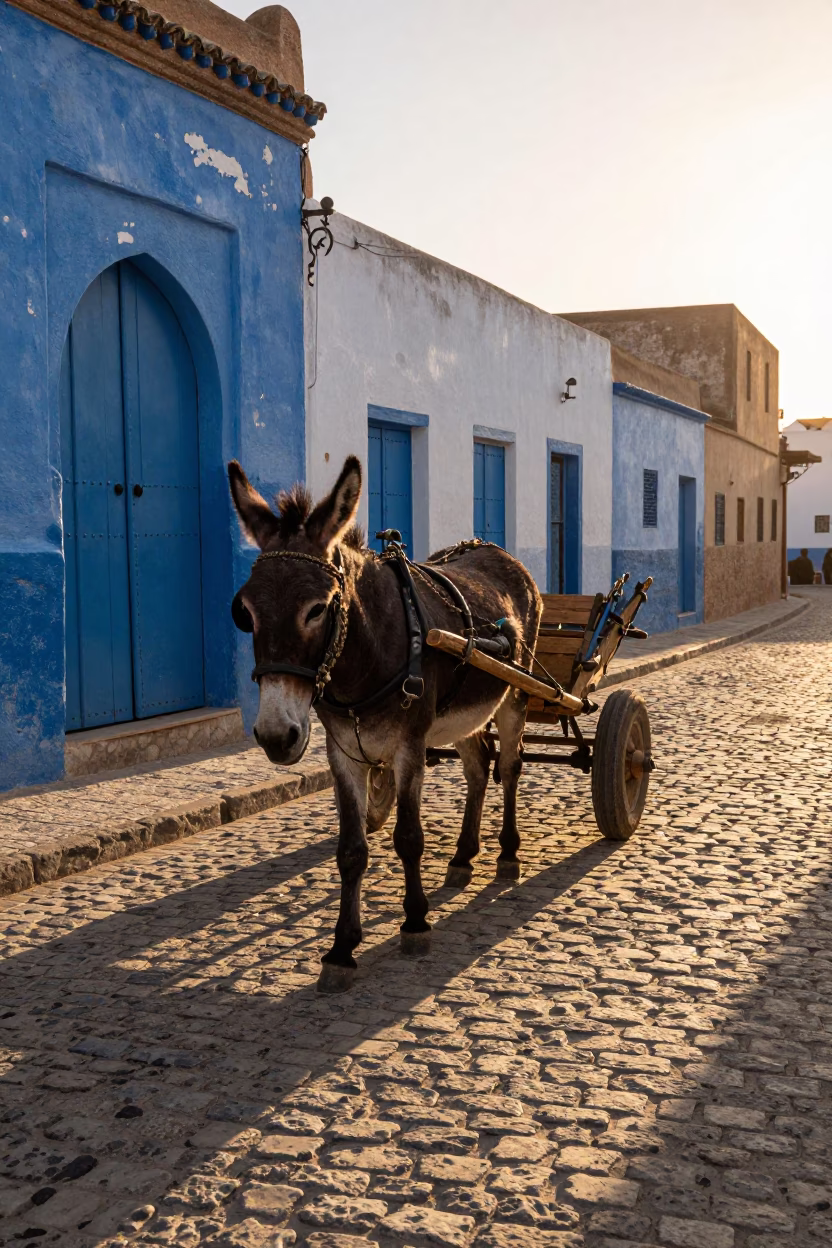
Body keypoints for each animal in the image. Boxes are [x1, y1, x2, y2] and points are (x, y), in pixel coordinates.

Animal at [228, 454, 542, 993]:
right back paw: (463, 858)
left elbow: (408, 838)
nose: (275, 737)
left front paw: (415, 923)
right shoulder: (342, 756)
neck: (364, 659)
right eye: (244, 611)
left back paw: (506, 854)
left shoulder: (408, 749)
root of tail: (498, 553)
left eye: (318, 608)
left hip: (514, 697)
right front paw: (341, 949)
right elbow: (351, 850)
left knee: (510, 768)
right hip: (461, 718)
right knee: (479, 769)